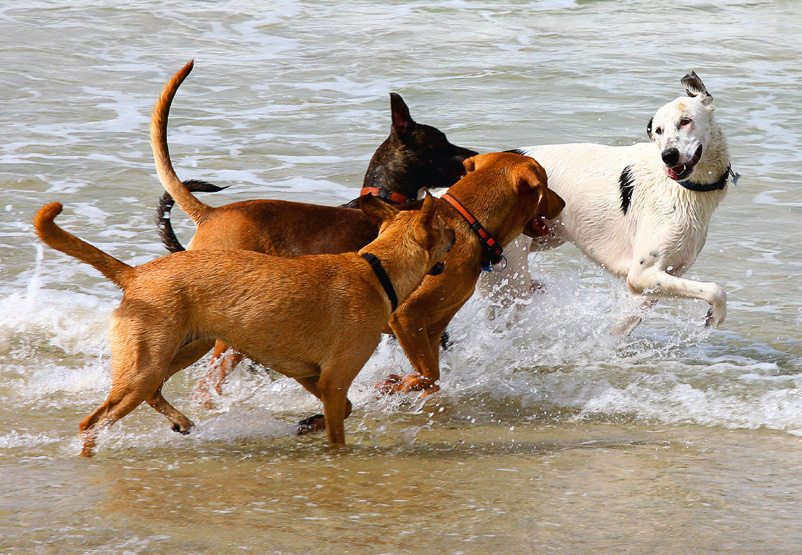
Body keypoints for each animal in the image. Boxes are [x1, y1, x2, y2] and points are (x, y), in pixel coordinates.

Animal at [484, 74, 736, 334]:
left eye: (686, 121)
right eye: (658, 130)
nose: (668, 155)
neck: (681, 188)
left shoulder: (654, 283)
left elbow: (620, 327)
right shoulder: (640, 275)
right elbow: (716, 290)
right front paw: (715, 316)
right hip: (511, 273)